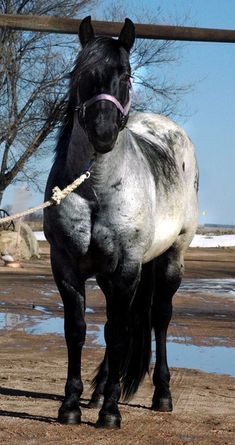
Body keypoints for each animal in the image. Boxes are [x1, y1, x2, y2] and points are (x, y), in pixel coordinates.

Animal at [43, 16, 198, 426]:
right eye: (80, 73)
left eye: (125, 75)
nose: (103, 132)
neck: (94, 188)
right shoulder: (66, 266)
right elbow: (77, 330)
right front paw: (70, 405)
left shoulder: (127, 266)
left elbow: (118, 332)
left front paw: (111, 413)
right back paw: (97, 393)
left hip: (171, 258)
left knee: (158, 318)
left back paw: (161, 395)